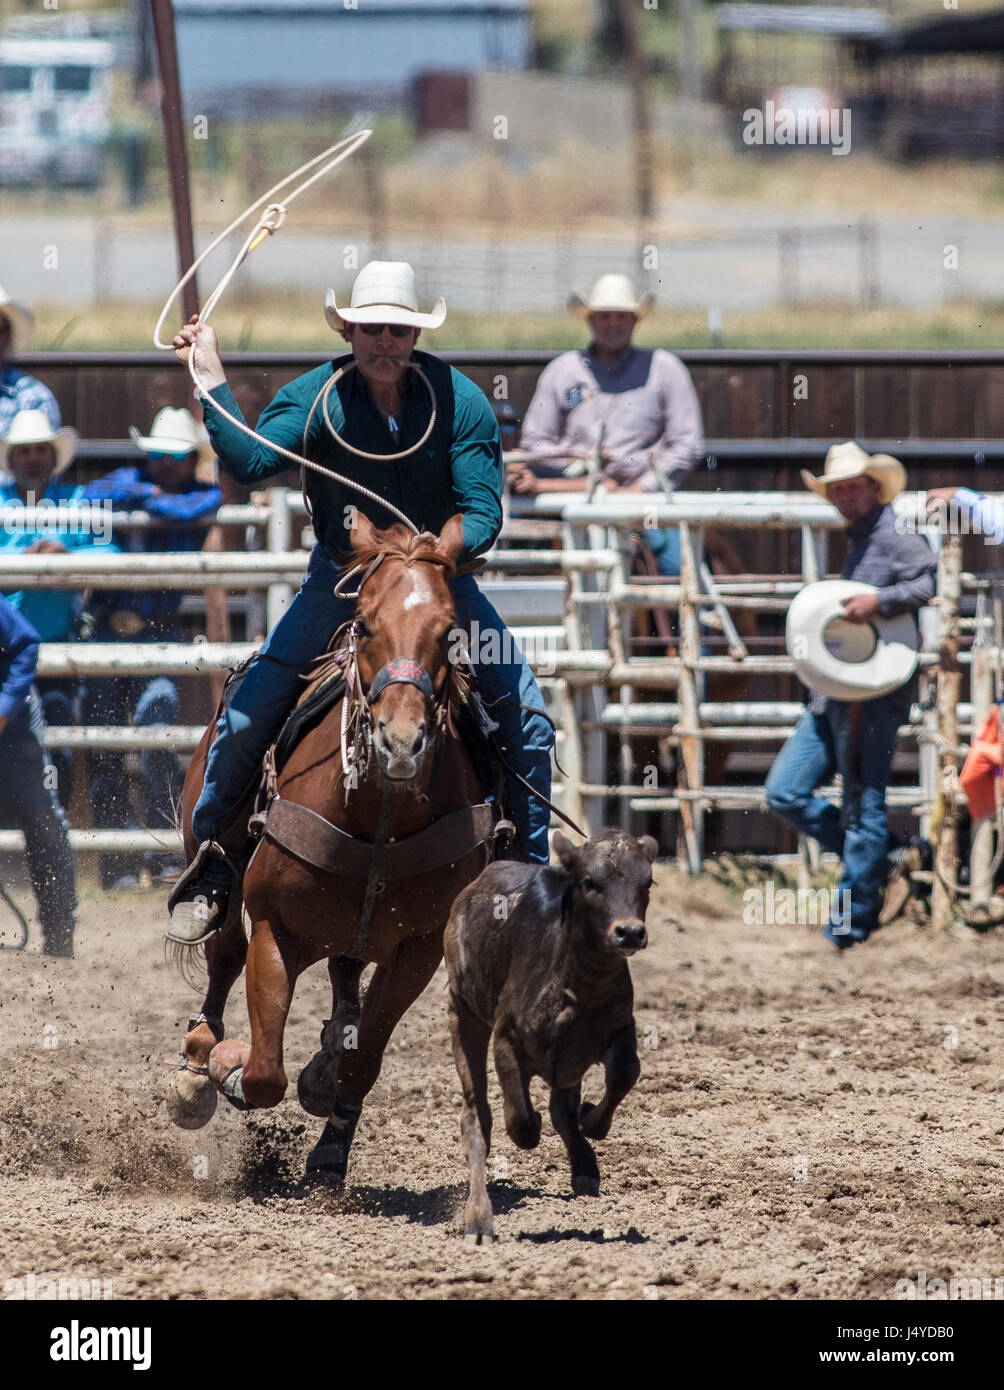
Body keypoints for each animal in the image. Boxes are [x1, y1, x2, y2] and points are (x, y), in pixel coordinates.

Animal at [170, 517, 495, 1189]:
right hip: (218, 870)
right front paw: (226, 1066)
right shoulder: (276, 929)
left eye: (449, 629)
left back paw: (324, 1060)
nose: (402, 741)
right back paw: (195, 1066)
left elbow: (364, 1059)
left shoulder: (420, 948)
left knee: (346, 979)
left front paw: (328, 1147)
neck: (379, 817)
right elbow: (264, 1070)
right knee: (223, 953)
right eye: (364, 623)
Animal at [442, 828, 653, 1245]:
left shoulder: (619, 1028)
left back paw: (584, 1165)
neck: (577, 987)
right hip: (464, 1012)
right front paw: (534, 1124)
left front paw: (591, 1120)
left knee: (561, 1109)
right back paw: (478, 1219)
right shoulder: (506, 1037)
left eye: (647, 882)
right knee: (477, 1117)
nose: (630, 932)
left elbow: (623, 1074)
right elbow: (521, 1121)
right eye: (590, 882)